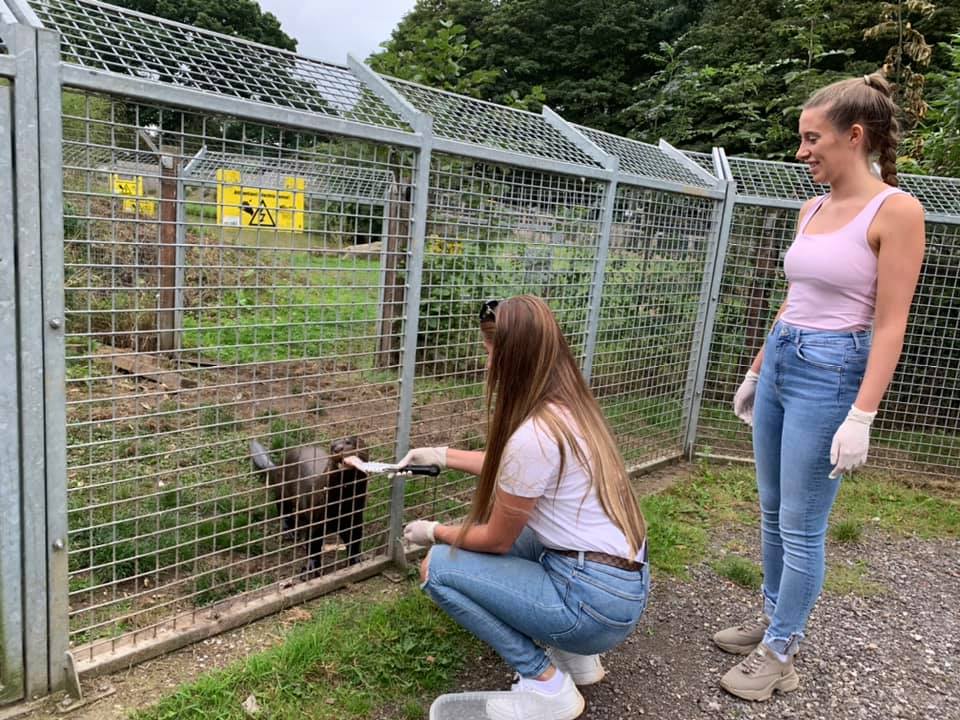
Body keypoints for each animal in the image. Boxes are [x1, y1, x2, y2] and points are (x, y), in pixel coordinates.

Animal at [250, 436, 369, 575]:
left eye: (349, 441)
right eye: (332, 447)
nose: (338, 449)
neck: (341, 504)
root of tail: (279, 466)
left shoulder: (355, 517)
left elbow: (355, 540)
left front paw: (357, 559)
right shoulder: (316, 517)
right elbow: (313, 544)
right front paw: (311, 567)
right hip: (283, 491)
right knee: (282, 509)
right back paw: (289, 531)